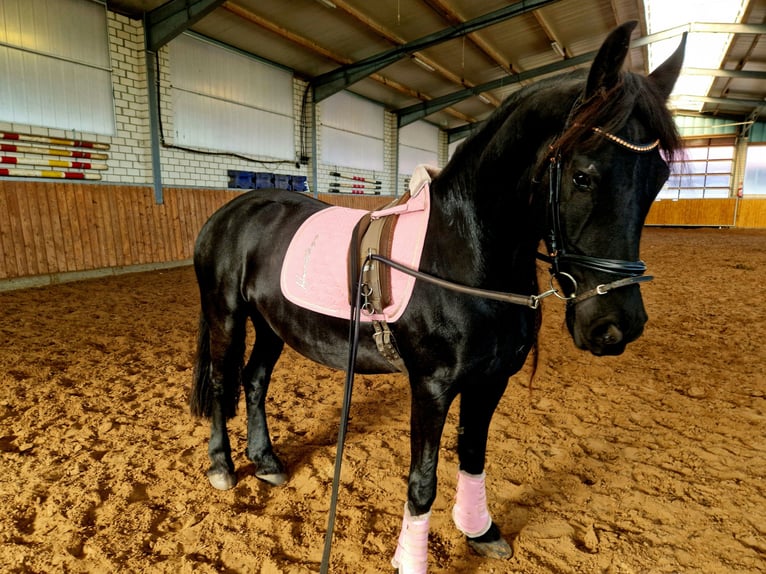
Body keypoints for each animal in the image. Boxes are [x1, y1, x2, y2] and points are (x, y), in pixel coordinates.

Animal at [190, 21, 685, 573]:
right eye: (583, 175)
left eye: (660, 179)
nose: (616, 325)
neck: (463, 251)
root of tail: (230, 212)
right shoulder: (431, 385)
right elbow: (422, 481)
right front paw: (412, 559)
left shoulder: (491, 379)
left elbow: (472, 456)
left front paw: (480, 531)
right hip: (226, 315)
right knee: (223, 382)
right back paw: (222, 466)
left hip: (271, 324)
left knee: (255, 380)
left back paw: (267, 461)